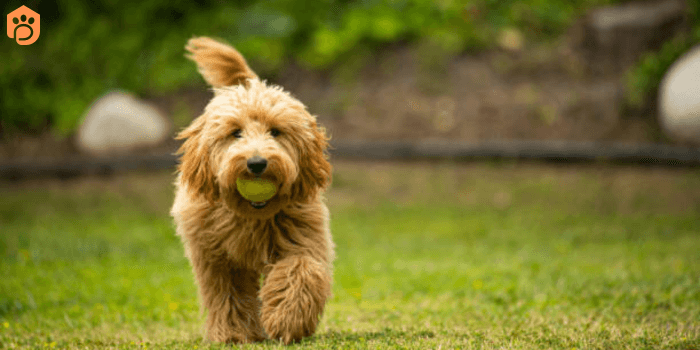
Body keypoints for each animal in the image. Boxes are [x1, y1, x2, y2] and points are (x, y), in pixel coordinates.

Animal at [170, 37, 334, 344]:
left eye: (275, 131)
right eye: (236, 133)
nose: (257, 163)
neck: (249, 216)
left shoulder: (302, 236)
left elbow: (301, 270)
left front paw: (287, 319)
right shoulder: (216, 258)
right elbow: (227, 294)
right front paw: (234, 333)